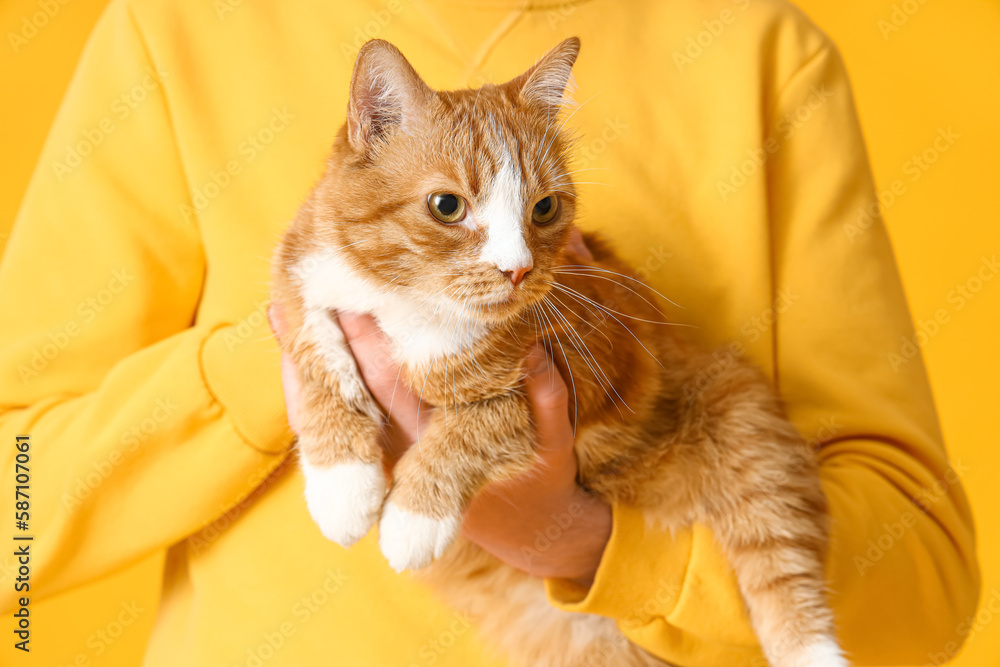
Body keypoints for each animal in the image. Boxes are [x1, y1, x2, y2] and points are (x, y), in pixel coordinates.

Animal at [272, 35, 844, 667]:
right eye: (447, 206)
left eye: (543, 208)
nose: (518, 270)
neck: (411, 307)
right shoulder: (301, 281)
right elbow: (318, 360)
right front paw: (342, 485)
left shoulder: (572, 376)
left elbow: (471, 429)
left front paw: (412, 518)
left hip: (743, 428)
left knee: (783, 567)